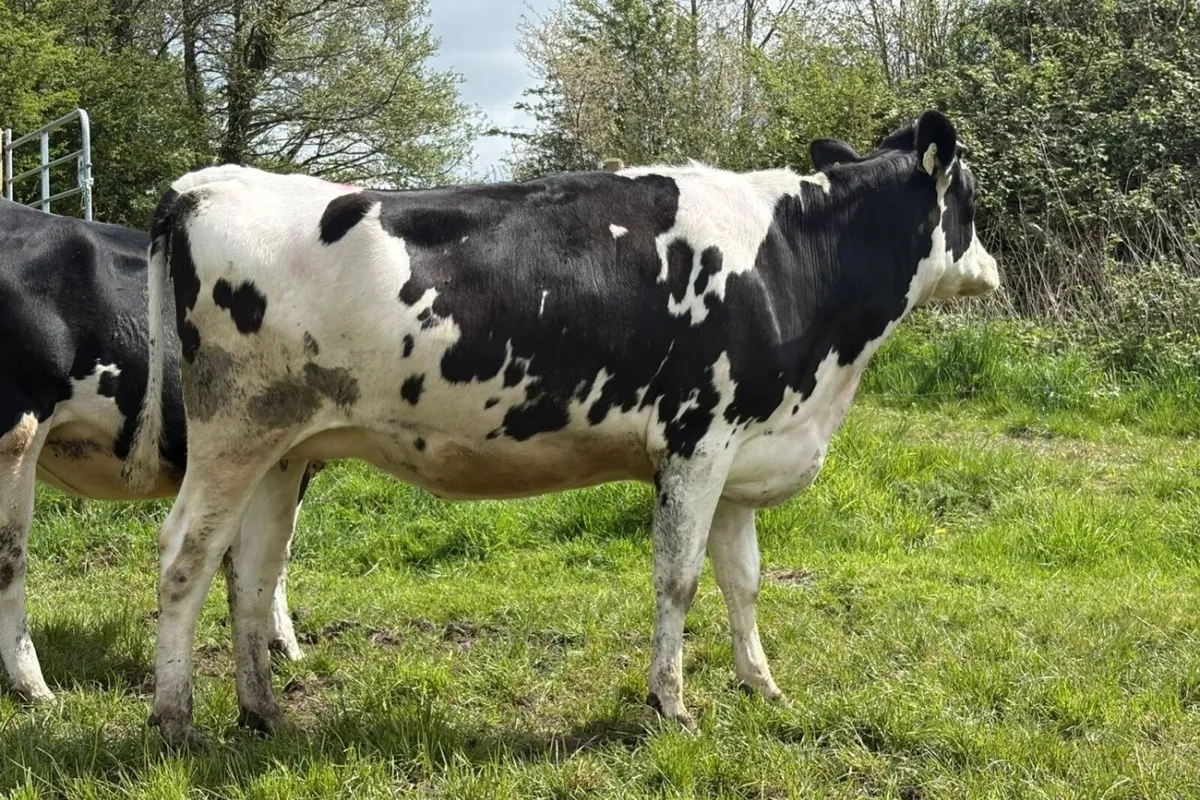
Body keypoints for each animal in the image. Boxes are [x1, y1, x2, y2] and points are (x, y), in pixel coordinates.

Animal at [128, 109, 999, 747]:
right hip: (232, 433)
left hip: (284, 449)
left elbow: (743, 581)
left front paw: (763, 686)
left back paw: (263, 712)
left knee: (251, 571)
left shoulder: (744, 449)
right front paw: (671, 706)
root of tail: (209, 184)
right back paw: (175, 721)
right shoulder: (696, 441)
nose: (990, 270)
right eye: (969, 197)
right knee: (184, 557)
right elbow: (678, 579)